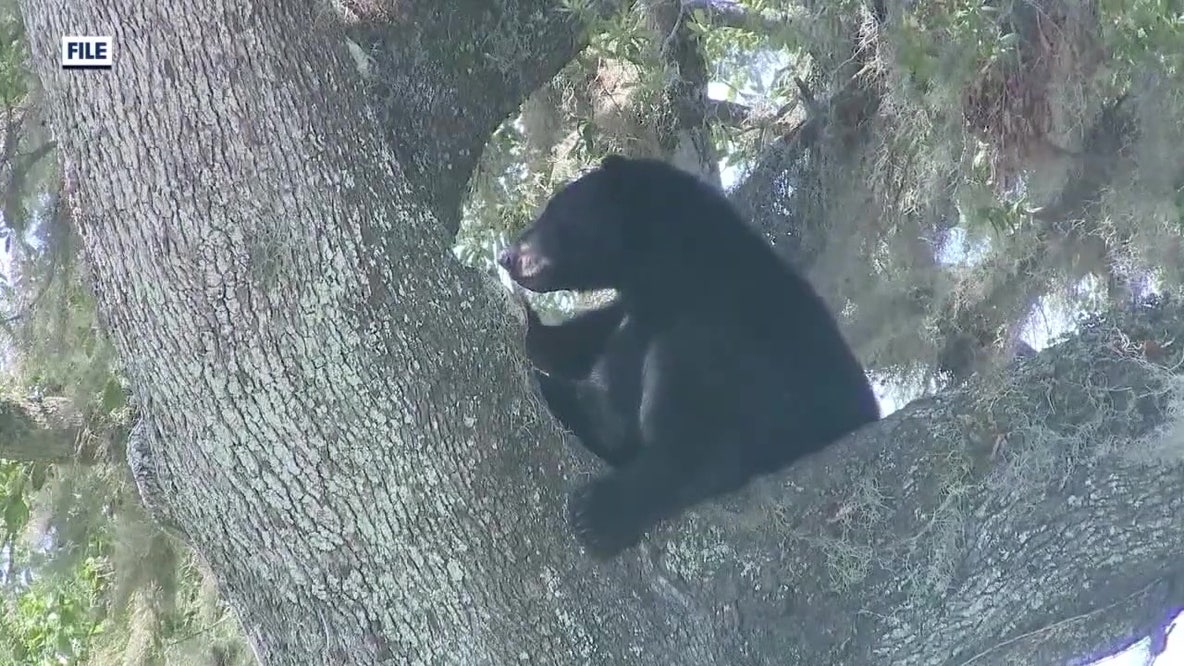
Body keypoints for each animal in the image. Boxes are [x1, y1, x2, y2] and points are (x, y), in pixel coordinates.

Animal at [498, 154, 881, 560]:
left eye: (553, 210)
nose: (507, 256)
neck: (678, 278)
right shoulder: (630, 321)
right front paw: (529, 327)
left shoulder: (724, 338)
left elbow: (699, 435)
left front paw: (602, 512)